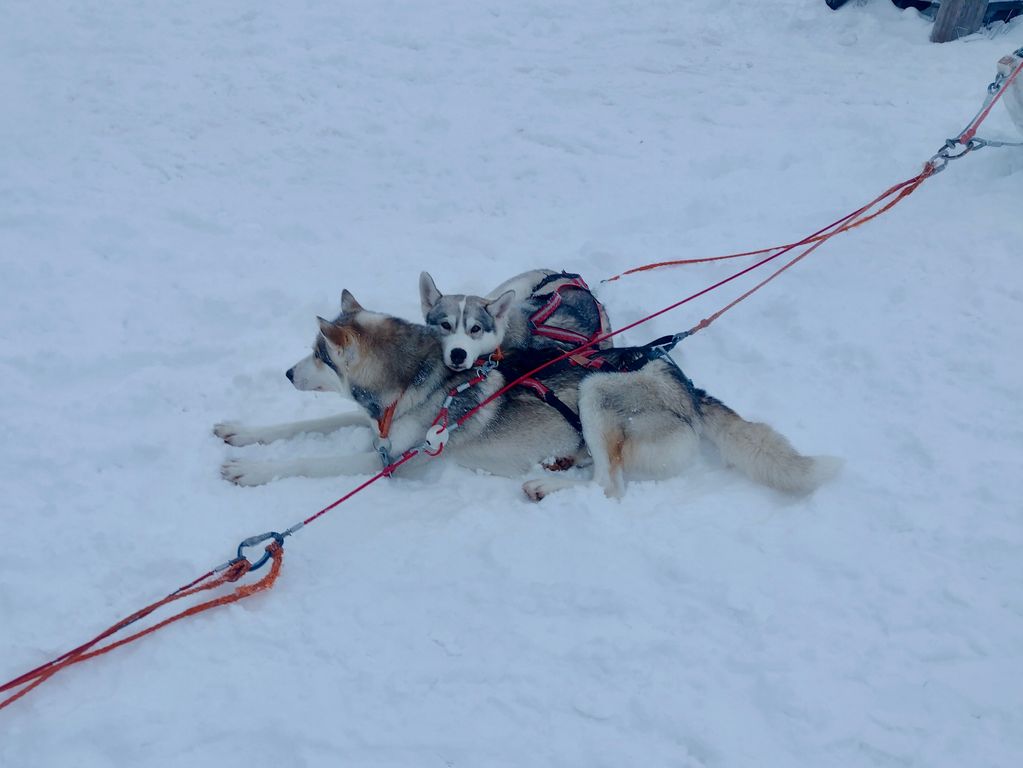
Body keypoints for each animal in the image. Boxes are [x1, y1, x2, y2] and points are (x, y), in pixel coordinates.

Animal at [211, 290, 834, 499]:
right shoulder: (374, 429)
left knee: (610, 488)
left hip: (598, 391)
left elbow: (312, 459)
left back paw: (545, 484)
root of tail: (685, 384)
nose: (287, 374)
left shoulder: (398, 461)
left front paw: (252, 471)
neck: (412, 378)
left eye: (318, 354)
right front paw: (242, 432)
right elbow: (297, 428)